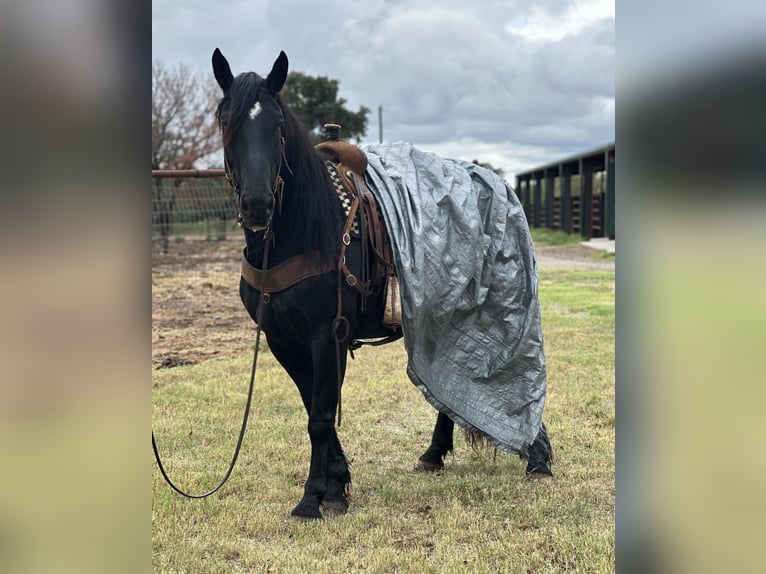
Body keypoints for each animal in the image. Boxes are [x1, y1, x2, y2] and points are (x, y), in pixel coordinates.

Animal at [213, 49, 556, 520]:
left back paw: (537, 458)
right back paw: (434, 454)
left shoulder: (327, 335)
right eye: (225, 121)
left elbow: (320, 416)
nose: (258, 205)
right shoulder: (283, 339)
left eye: (277, 125)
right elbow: (312, 407)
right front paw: (336, 486)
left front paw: (312, 499)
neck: (302, 233)